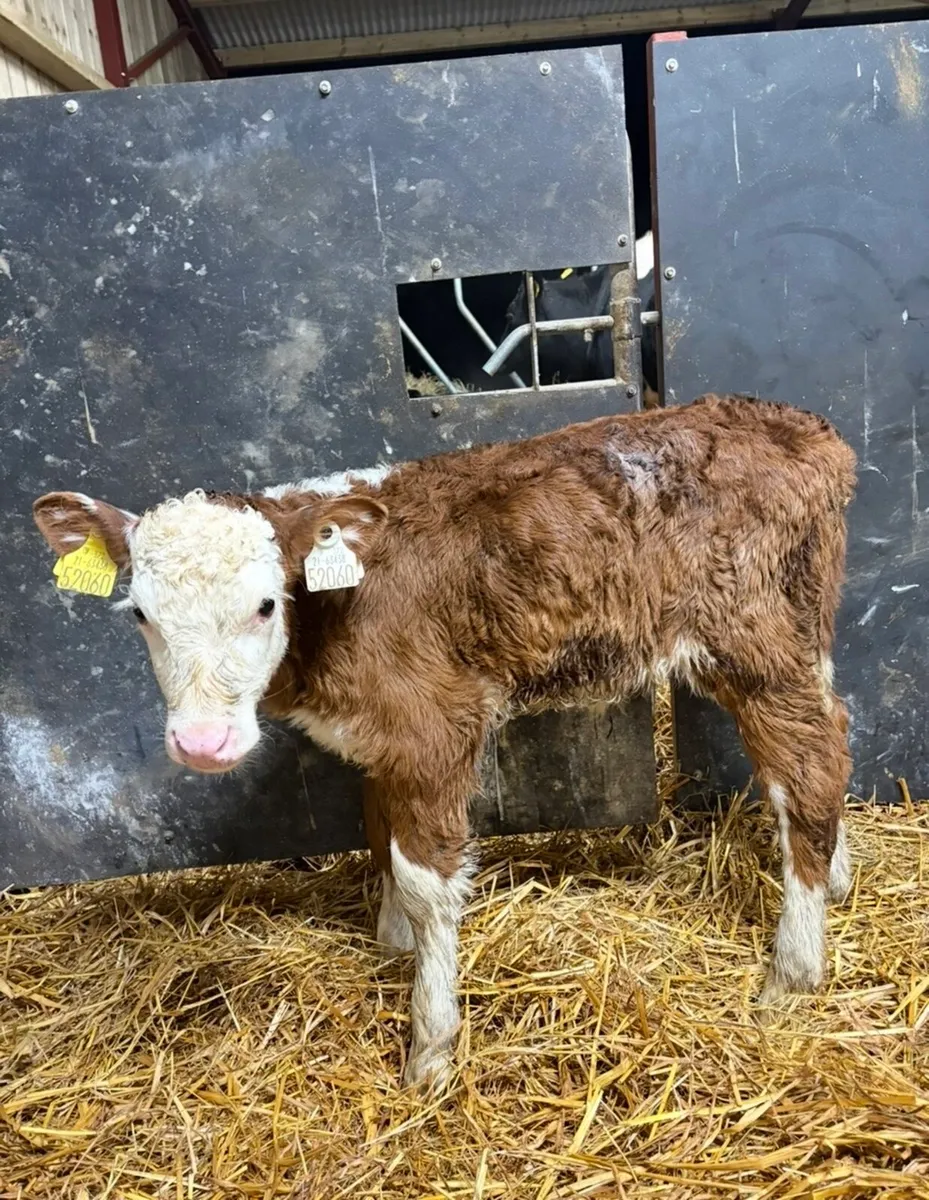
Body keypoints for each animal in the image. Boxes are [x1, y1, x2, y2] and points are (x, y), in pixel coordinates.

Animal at [34, 394, 856, 1092]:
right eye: (139, 613)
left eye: (266, 605)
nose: (203, 742)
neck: (340, 599)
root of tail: (801, 427)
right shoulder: (379, 737)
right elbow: (377, 834)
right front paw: (391, 941)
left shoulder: (435, 722)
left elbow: (426, 879)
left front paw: (429, 1046)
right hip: (802, 627)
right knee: (831, 735)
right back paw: (839, 880)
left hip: (753, 640)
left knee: (808, 770)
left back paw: (792, 973)